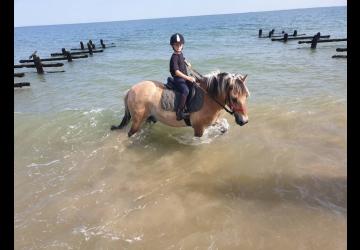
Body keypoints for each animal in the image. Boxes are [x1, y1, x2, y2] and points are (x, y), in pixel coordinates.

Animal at [110, 70, 250, 138]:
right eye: (234, 98)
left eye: (246, 96)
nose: (244, 121)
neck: (208, 98)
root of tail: (130, 90)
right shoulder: (198, 128)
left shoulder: (211, 121)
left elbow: (224, 126)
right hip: (138, 119)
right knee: (131, 133)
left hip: (149, 118)